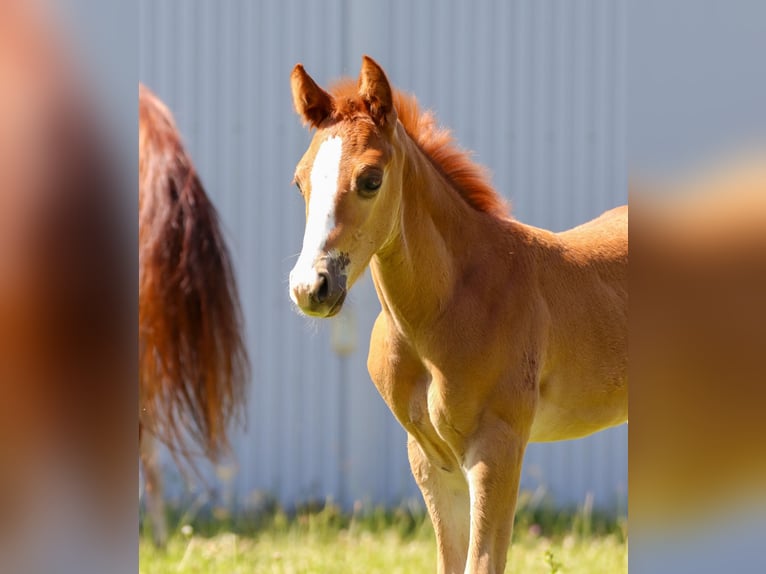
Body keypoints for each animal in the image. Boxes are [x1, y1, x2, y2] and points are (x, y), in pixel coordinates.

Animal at [288, 55, 632, 574]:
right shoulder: (432, 459)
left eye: (371, 179)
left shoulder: (497, 450)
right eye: (300, 181)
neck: (445, 307)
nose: (310, 287)